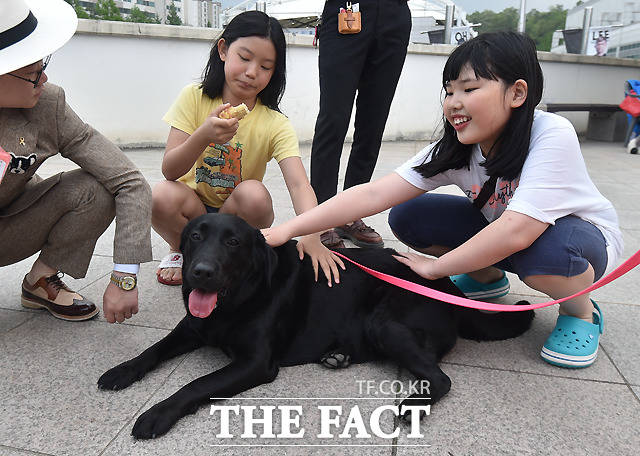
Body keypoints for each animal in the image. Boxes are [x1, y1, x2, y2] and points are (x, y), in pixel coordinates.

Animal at [99, 214, 528, 438]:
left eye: (234, 243)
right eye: (194, 236)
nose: (200, 272)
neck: (236, 302)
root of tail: (447, 285)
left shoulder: (255, 363)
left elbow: (196, 385)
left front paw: (158, 413)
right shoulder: (191, 329)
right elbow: (153, 349)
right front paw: (122, 371)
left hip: (386, 324)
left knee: (440, 379)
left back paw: (411, 406)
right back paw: (337, 356)